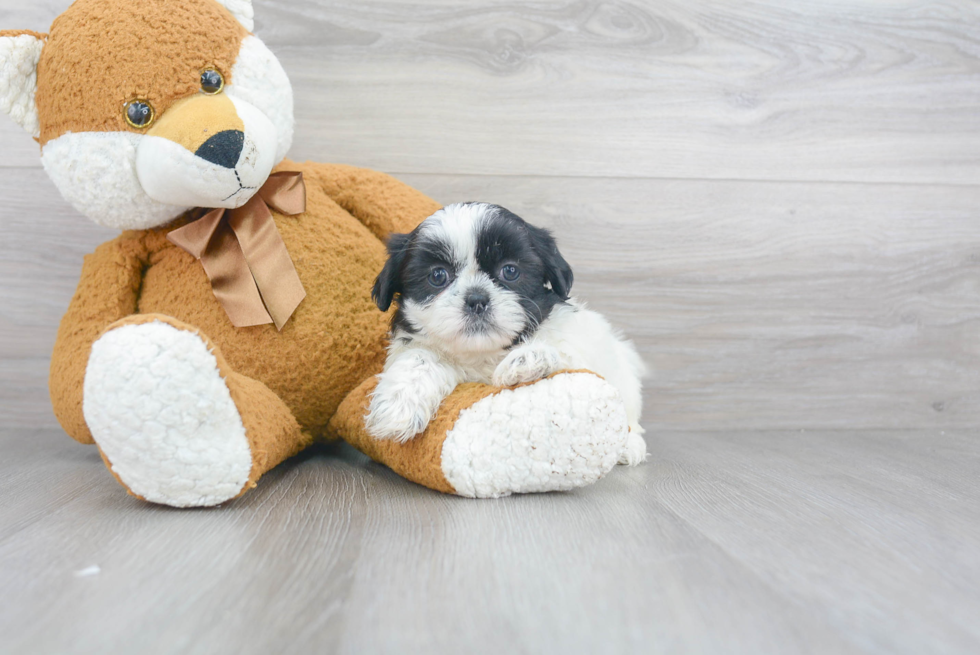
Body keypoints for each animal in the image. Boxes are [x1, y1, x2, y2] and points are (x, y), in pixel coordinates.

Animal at [368, 202, 652, 464]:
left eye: (510, 271)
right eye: (438, 275)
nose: (477, 299)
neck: (485, 353)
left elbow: (564, 353)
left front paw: (528, 360)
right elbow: (418, 358)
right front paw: (398, 404)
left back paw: (630, 446)